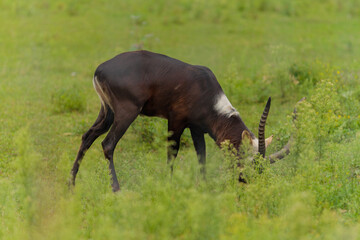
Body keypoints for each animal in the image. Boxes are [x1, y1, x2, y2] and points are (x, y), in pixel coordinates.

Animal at [71, 50, 278, 191]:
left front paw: (204, 186)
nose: (245, 180)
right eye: (252, 160)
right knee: (107, 144)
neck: (204, 88)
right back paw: (116, 189)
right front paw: (169, 185)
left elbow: (201, 155)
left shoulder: (196, 128)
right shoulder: (176, 122)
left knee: (87, 136)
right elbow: (172, 153)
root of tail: (100, 69)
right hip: (126, 114)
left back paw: (71, 186)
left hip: (107, 112)